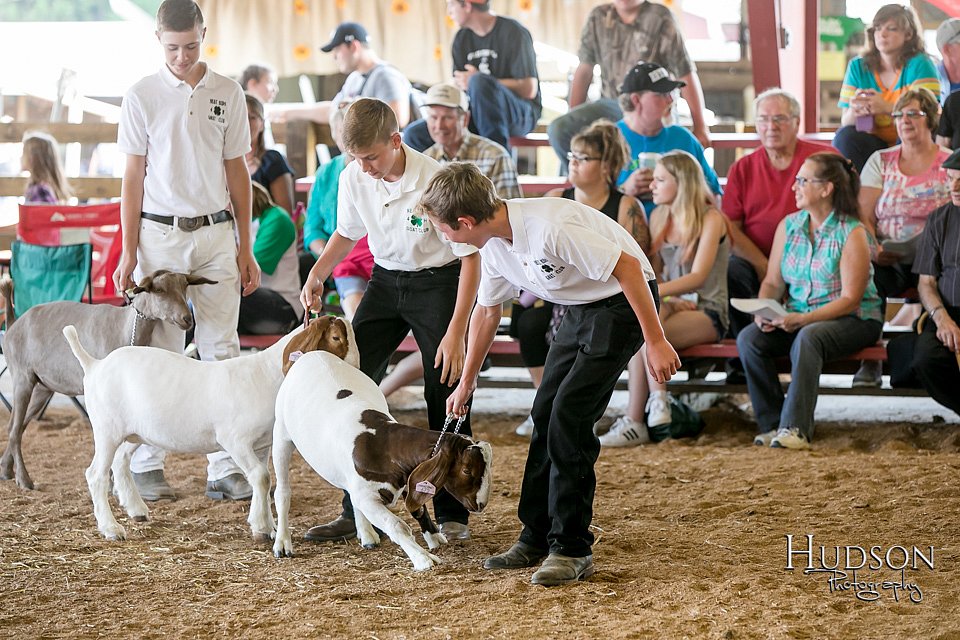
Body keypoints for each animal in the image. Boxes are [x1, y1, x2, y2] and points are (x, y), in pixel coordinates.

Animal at [61, 316, 360, 540]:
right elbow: (261, 477)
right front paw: (264, 528)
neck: (266, 375)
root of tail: (95, 365)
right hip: (106, 429)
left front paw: (264, 524)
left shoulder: (261, 444)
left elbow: (262, 480)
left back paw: (137, 510)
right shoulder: (235, 440)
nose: (357, 370)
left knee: (121, 462)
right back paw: (111, 529)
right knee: (96, 474)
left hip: (136, 432)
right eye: (336, 338)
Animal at [272, 352, 492, 572]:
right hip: (281, 435)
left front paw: (435, 538)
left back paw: (367, 535)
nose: (481, 504)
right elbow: (397, 525)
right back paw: (282, 543)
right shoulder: (368, 498)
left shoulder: (407, 479)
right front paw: (422, 558)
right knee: (282, 492)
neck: (384, 445)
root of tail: (311, 354)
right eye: (467, 470)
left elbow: (418, 507)